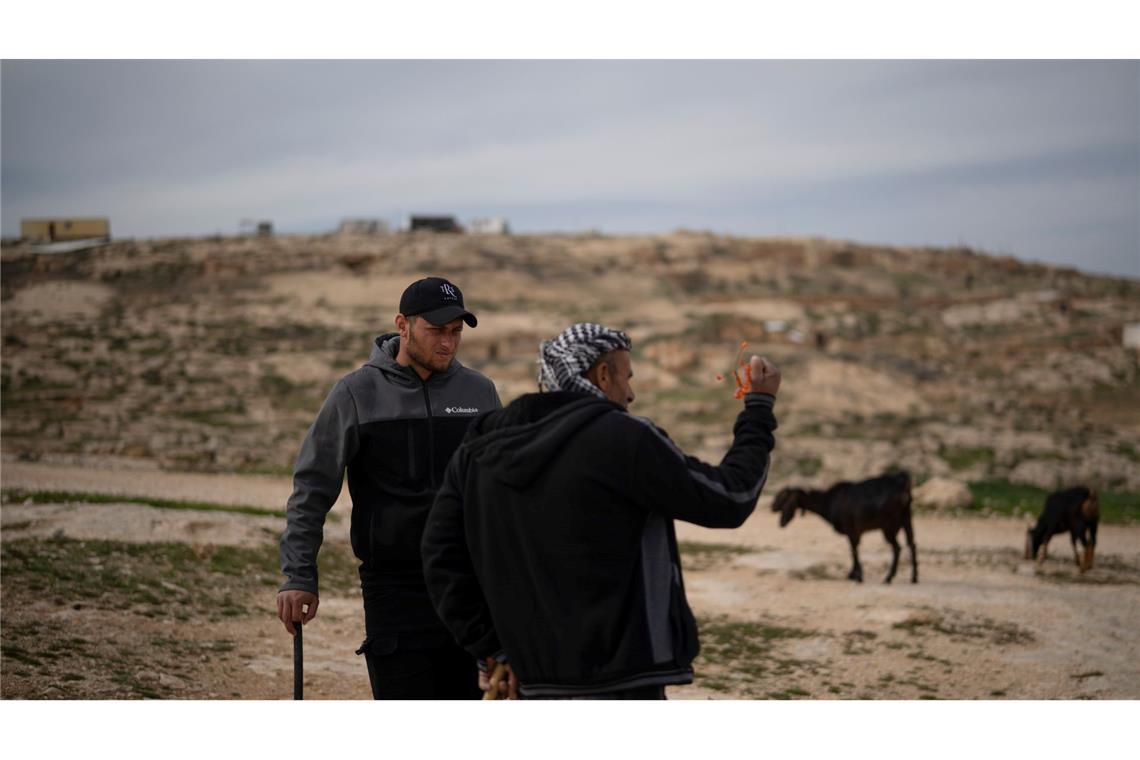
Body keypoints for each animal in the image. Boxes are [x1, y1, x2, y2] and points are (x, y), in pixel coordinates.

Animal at [766, 471, 916, 587]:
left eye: (782, 496)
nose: (772, 507)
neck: (828, 501)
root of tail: (902, 483)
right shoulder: (854, 532)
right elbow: (853, 549)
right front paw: (853, 574)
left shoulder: (851, 529)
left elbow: (853, 550)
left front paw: (857, 576)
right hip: (906, 517)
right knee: (911, 543)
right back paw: (914, 577)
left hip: (888, 525)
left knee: (897, 548)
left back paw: (888, 578)